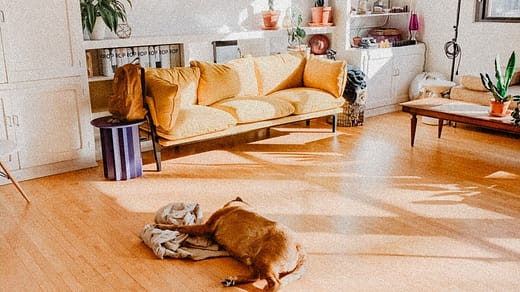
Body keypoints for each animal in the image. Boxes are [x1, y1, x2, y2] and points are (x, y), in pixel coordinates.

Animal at [156, 197, 306, 290]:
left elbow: (181, 227)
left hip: (265, 260)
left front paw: (162, 226)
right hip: (255, 262)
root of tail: (300, 247)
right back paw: (233, 280)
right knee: (256, 277)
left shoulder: (206, 227)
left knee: (275, 283)